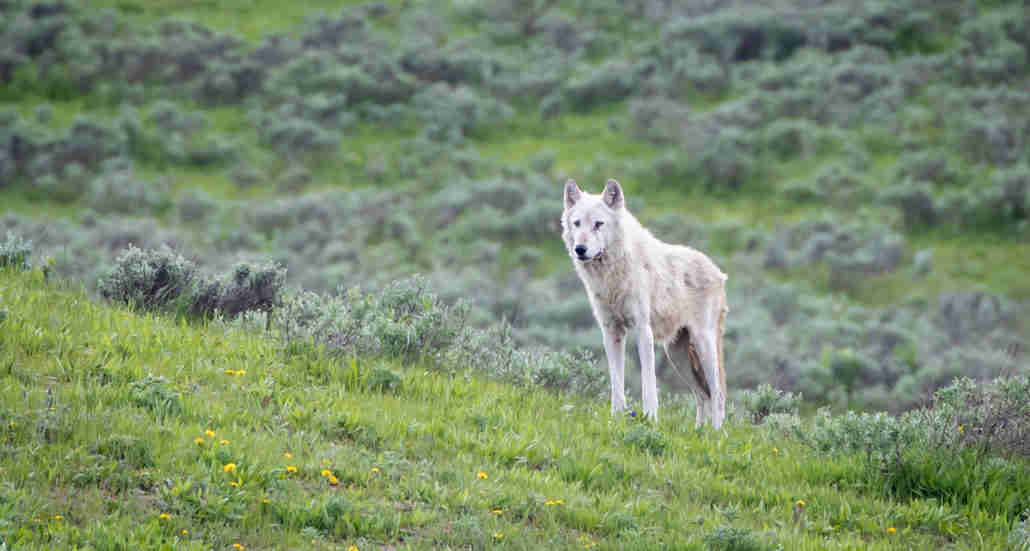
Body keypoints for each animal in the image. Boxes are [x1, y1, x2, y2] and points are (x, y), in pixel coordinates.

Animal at [564, 179, 733, 428]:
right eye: (577, 223)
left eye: (598, 224)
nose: (580, 249)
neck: (611, 275)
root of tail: (718, 272)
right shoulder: (611, 332)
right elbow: (616, 383)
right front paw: (616, 418)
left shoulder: (643, 331)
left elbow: (648, 384)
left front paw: (650, 420)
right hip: (677, 355)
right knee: (702, 395)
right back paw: (699, 432)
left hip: (704, 346)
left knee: (718, 394)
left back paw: (716, 434)